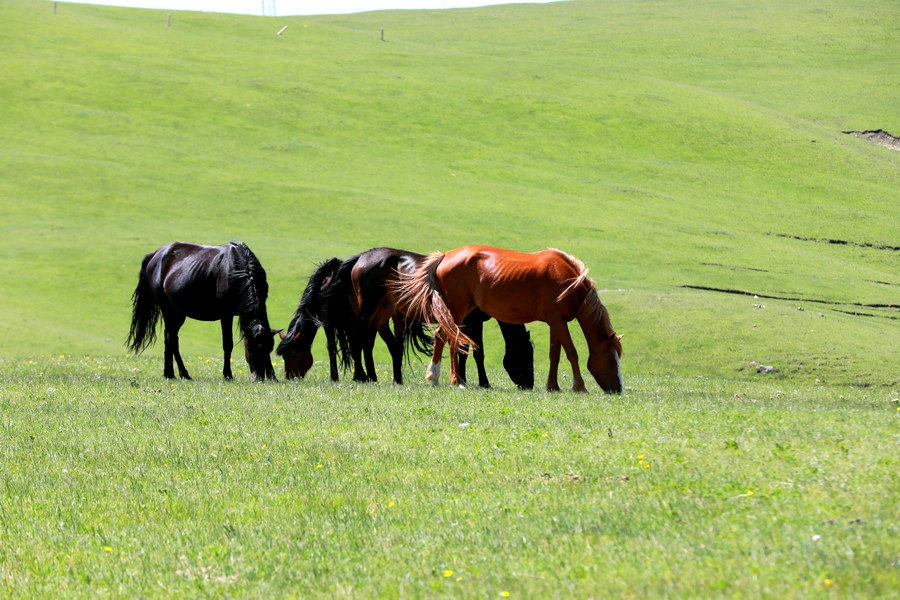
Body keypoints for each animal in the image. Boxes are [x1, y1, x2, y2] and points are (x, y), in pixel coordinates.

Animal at [126, 241, 281, 381]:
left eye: (269, 349)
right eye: (250, 348)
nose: (259, 377)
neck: (239, 269)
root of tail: (156, 254)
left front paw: (273, 376)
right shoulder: (226, 314)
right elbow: (227, 344)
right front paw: (227, 375)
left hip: (178, 313)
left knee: (169, 337)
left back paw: (169, 373)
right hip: (168, 309)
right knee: (172, 339)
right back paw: (182, 374)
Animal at [394, 245, 623, 393]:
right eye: (611, 360)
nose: (618, 389)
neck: (569, 281)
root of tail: (444, 256)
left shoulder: (555, 323)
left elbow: (555, 355)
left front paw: (553, 386)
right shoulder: (559, 322)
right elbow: (572, 353)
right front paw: (579, 386)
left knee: (449, 338)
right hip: (456, 310)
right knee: (445, 338)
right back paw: (443, 377)